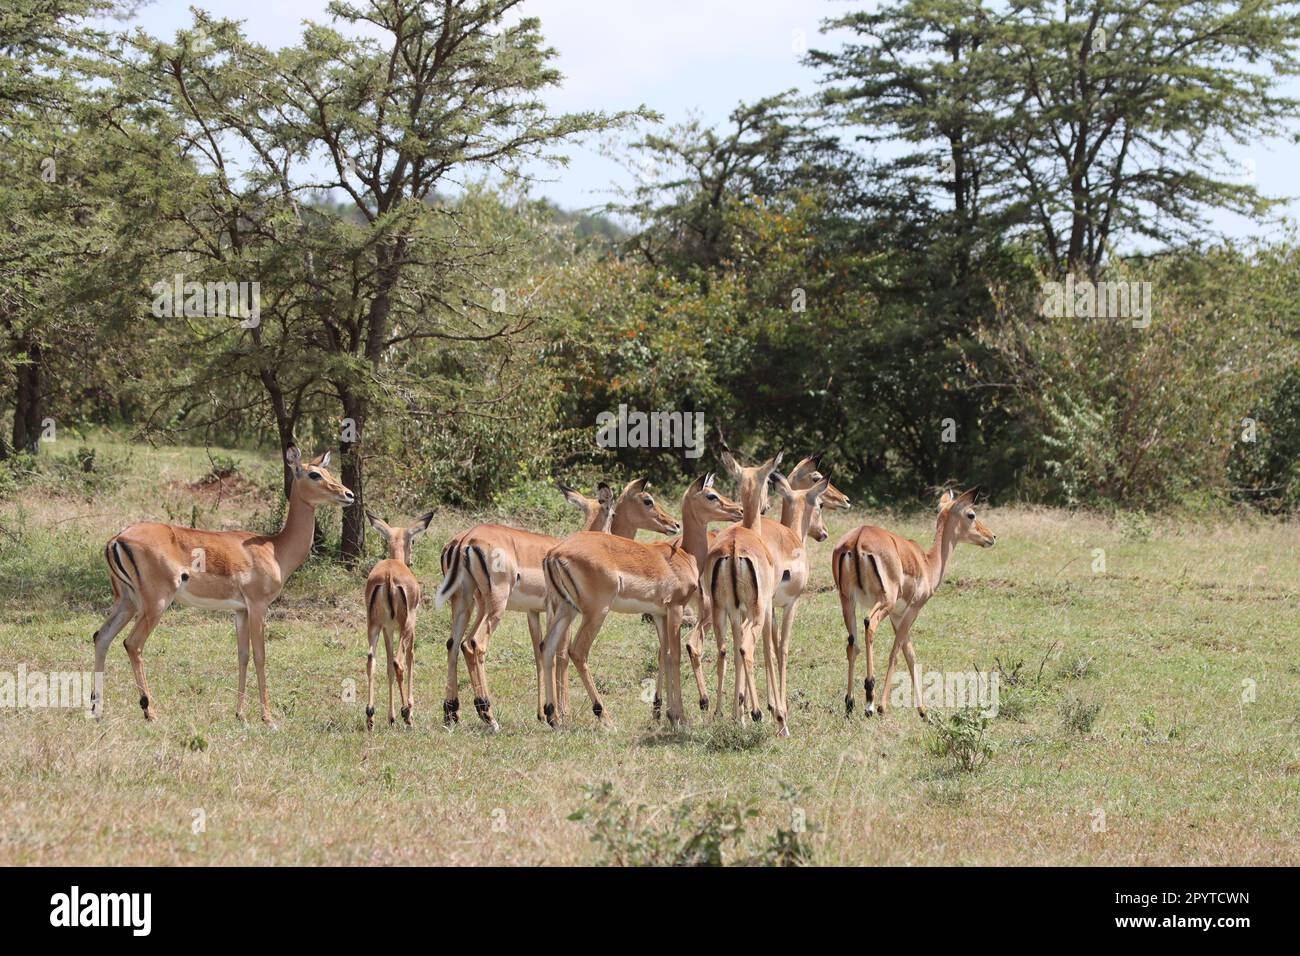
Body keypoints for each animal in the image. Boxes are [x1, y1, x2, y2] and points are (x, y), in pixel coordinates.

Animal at [89, 447, 356, 723]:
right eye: (314, 474)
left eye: (328, 472)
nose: (349, 495)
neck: (274, 550)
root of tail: (118, 538)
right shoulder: (258, 606)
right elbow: (260, 656)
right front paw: (268, 718)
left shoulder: (240, 611)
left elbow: (243, 656)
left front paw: (240, 715)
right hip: (156, 604)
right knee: (133, 644)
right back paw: (150, 712)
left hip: (126, 602)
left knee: (101, 637)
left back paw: (97, 711)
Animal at [364, 512, 434, 728]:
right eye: (413, 540)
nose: (411, 561)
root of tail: (388, 576)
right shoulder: (411, 626)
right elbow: (411, 657)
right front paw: (407, 710)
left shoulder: (387, 629)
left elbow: (387, 667)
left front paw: (391, 716)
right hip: (406, 625)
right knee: (399, 662)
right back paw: (407, 715)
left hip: (374, 626)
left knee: (371, 660)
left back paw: (370, 716)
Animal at [832, 494, 993, 717]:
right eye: (971, 514)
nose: (991, 536)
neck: (927, 563)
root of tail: (858, 539)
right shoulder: (912, 610)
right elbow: (896, 653)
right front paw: (883, 706)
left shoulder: (897, 615)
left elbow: (910, 654)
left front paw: (924, 711)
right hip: (883, 602)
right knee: (869, 625)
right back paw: (870, 702)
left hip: (847, 601)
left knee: (852, 644)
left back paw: (849, 704)